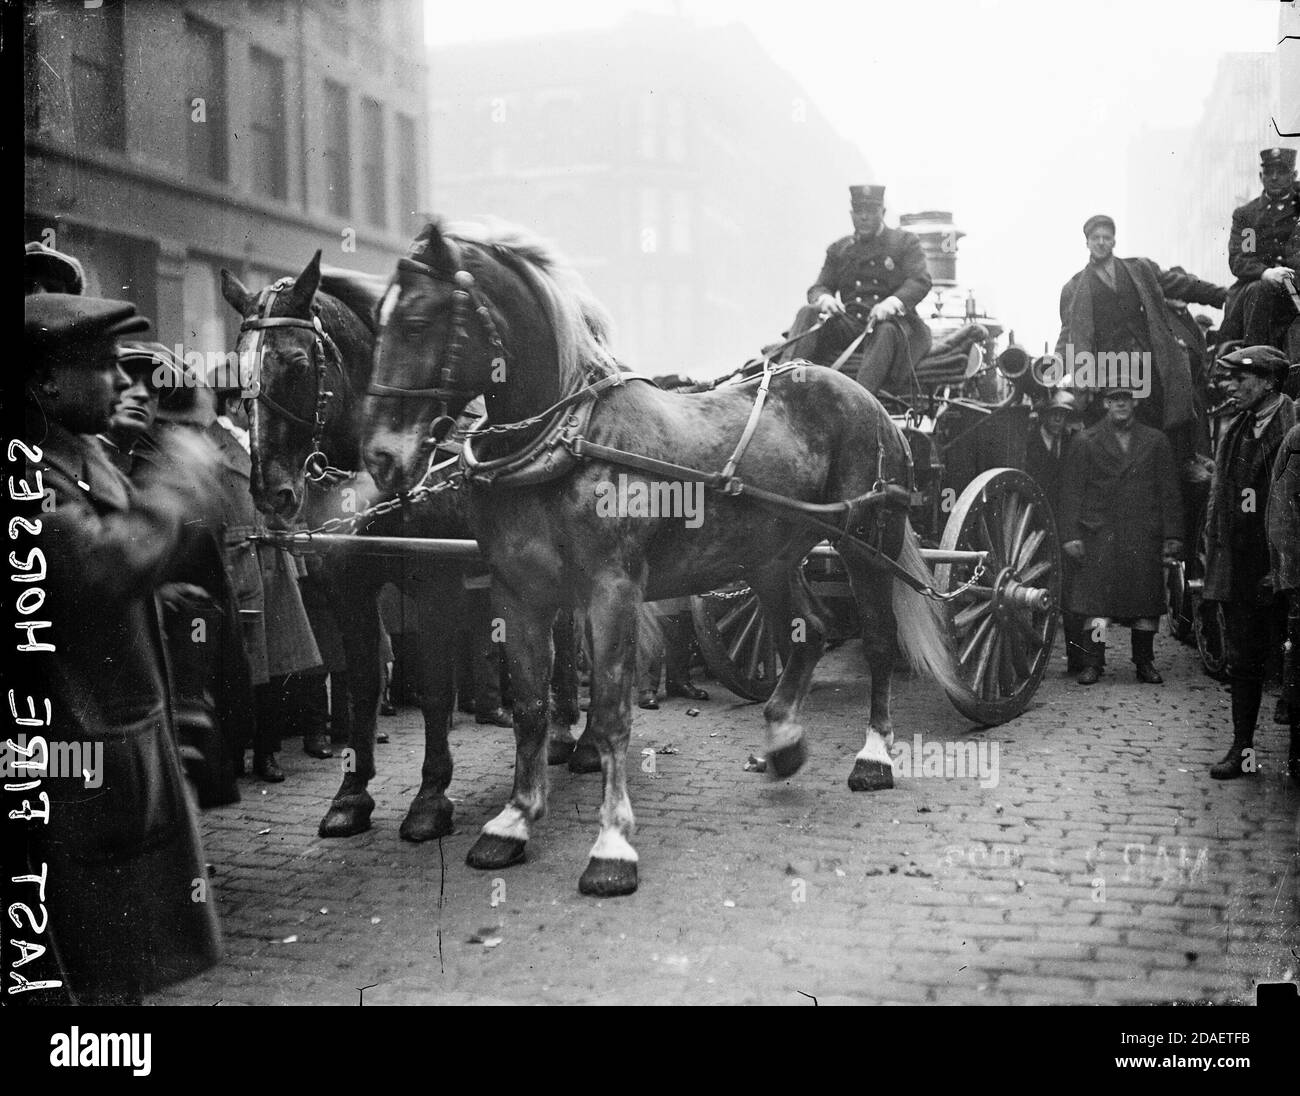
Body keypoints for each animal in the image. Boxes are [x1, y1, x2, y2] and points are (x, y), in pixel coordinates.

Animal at [220, 253, 582, 842]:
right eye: (237, 370)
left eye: (295, 363)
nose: (272, 491)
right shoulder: (347, 590)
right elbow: (363, 685)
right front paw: (351, 793)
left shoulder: (433, 588)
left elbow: (434, 688)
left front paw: (431, 798)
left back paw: (578, 738)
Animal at [361, 218, 961, 894]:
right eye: (377, 322)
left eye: (416, 323)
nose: (379, 457)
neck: (568, 438)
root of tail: (867, 398)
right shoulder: (518, 591)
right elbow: (531, 707)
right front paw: (513, 821)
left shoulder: (612, 589)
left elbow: (612, 711)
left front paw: (612, 845)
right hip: (771, 558)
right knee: (810, 632)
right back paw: (783, 738)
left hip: (867, 543)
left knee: (880, 640)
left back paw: (873, 756)